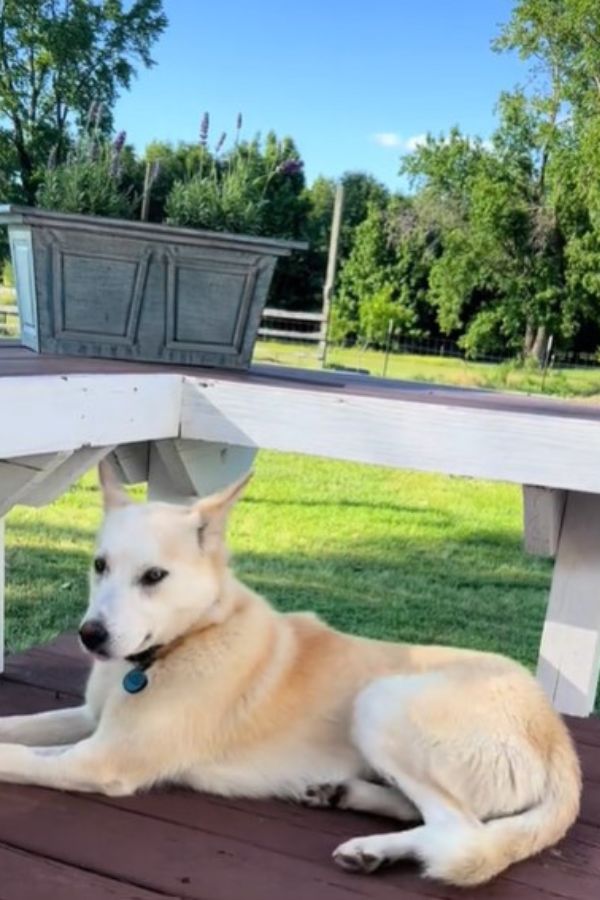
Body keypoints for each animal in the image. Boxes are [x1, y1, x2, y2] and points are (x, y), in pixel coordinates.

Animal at [0, 464, 580, 884]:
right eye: (99, 566)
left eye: (154, 576)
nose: (90, 635)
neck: (190, 638)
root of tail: (559, 742)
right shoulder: (89, 719)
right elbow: (20, 729)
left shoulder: (104, 760)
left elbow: (19, 755)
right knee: (435, 818)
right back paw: (347, 800)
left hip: (382, 701)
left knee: (460, 832)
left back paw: (370, 847)